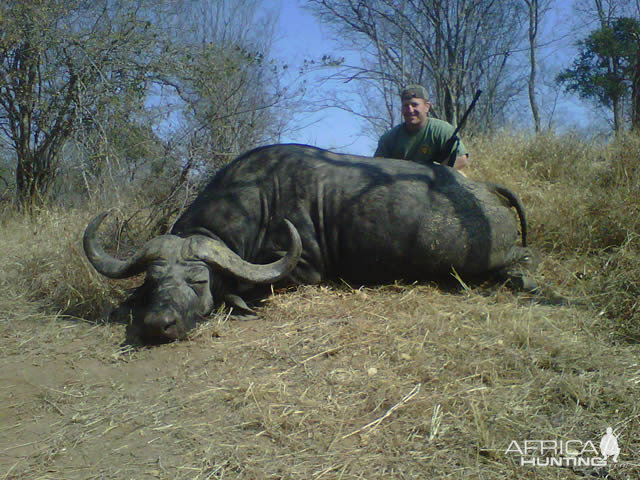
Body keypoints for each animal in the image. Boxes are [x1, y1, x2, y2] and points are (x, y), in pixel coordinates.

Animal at [84, 142, 536, 342]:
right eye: (154, 281)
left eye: (198, 282)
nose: (158, 324)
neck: (258, 195)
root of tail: (483, 190)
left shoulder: (304, 270)